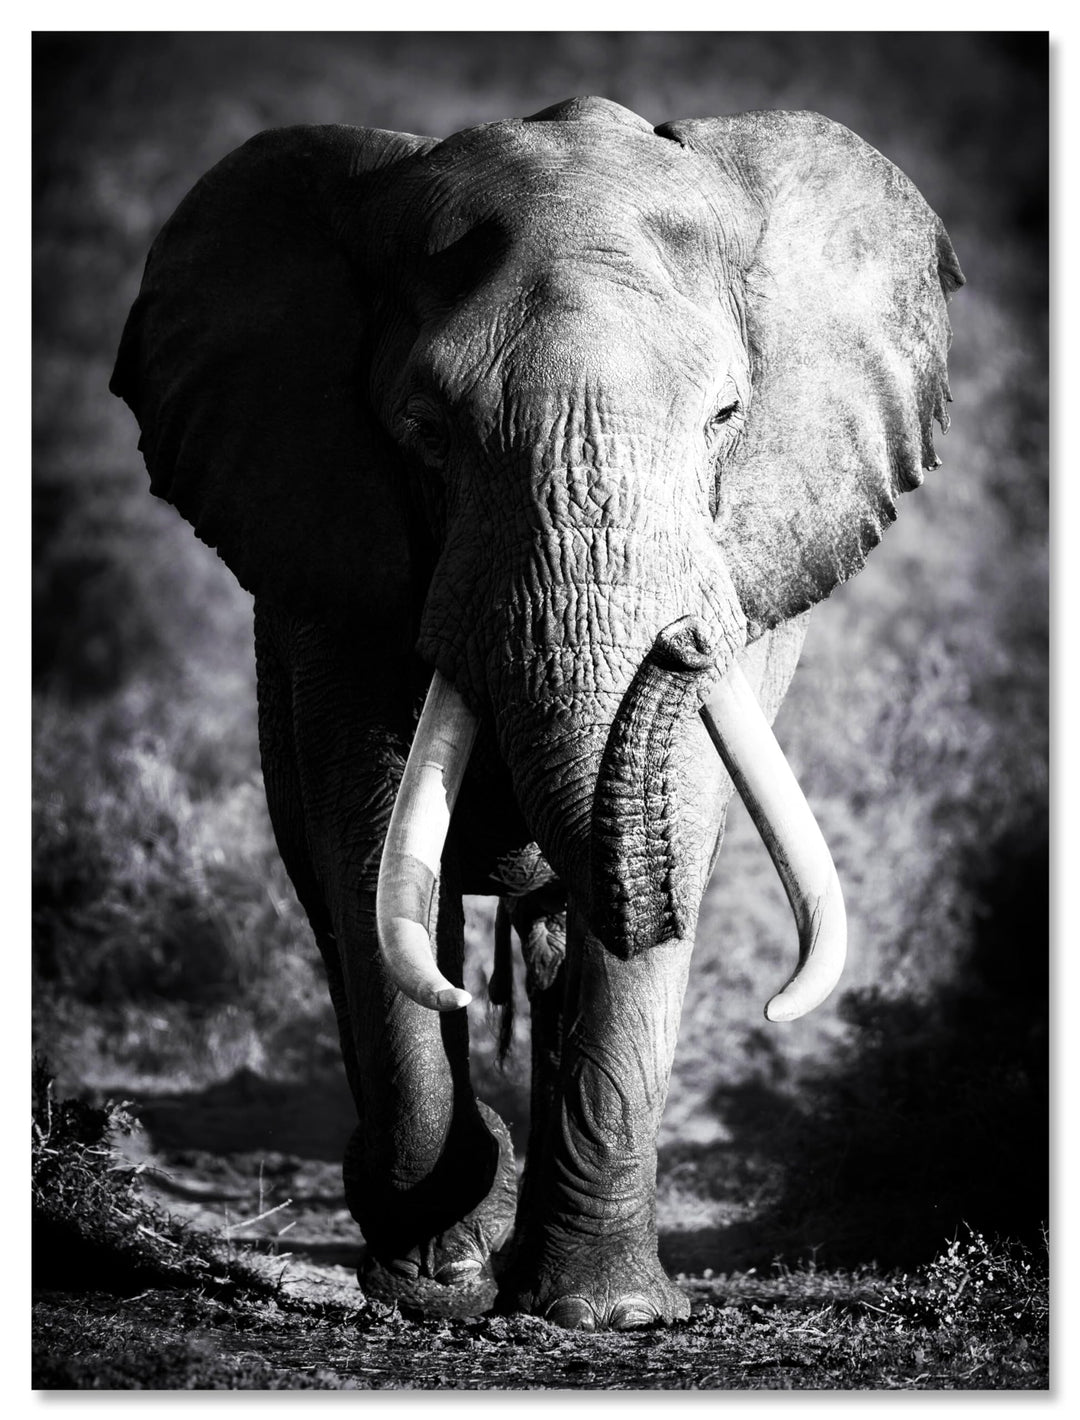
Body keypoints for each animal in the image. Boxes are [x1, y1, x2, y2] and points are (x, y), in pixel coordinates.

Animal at [111, 95, 962, 1330]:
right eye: (426, 430)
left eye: (726, 417)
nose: (683, 641)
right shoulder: (334, 563)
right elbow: (367, 842)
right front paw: (435, 1285)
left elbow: (677, 824)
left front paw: (606, 1314)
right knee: (336, 899)